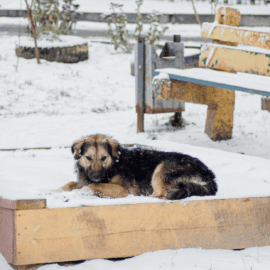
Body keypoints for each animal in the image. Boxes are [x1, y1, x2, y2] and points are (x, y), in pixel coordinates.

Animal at [60, 134, 217, 199]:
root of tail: (209, 176)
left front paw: (81, 191)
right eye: (88, 158)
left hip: (161, 169)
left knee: (160, 195)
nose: (96, 177)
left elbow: (92, 186)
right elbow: (70, 183)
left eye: (104, 158)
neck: (113, 166)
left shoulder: (122, 189)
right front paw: (59, 190)